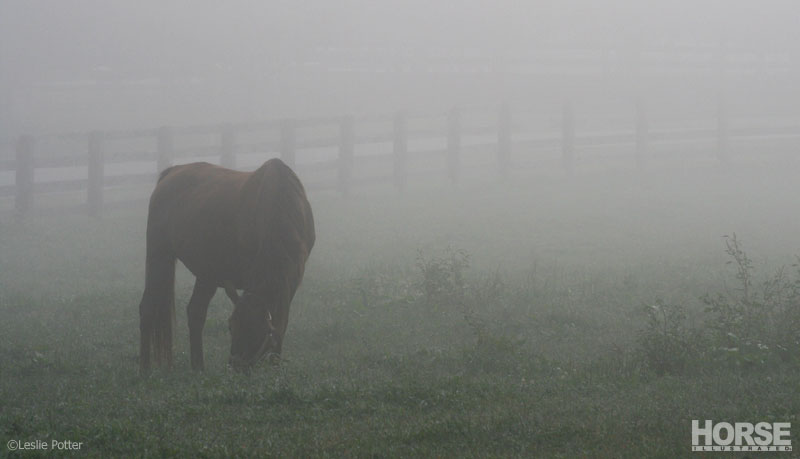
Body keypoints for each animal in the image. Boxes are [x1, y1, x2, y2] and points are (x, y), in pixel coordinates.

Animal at [139, 160, 314, 372]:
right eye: (231, 327)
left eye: (257, 333)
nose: (235, 366)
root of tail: (170, 174)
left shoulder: (289, 282)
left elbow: (282, 323)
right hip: (159, 257)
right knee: (148, 308)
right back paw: (144, 370)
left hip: (207, 273)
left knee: (195, 312)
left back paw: (198, 368)